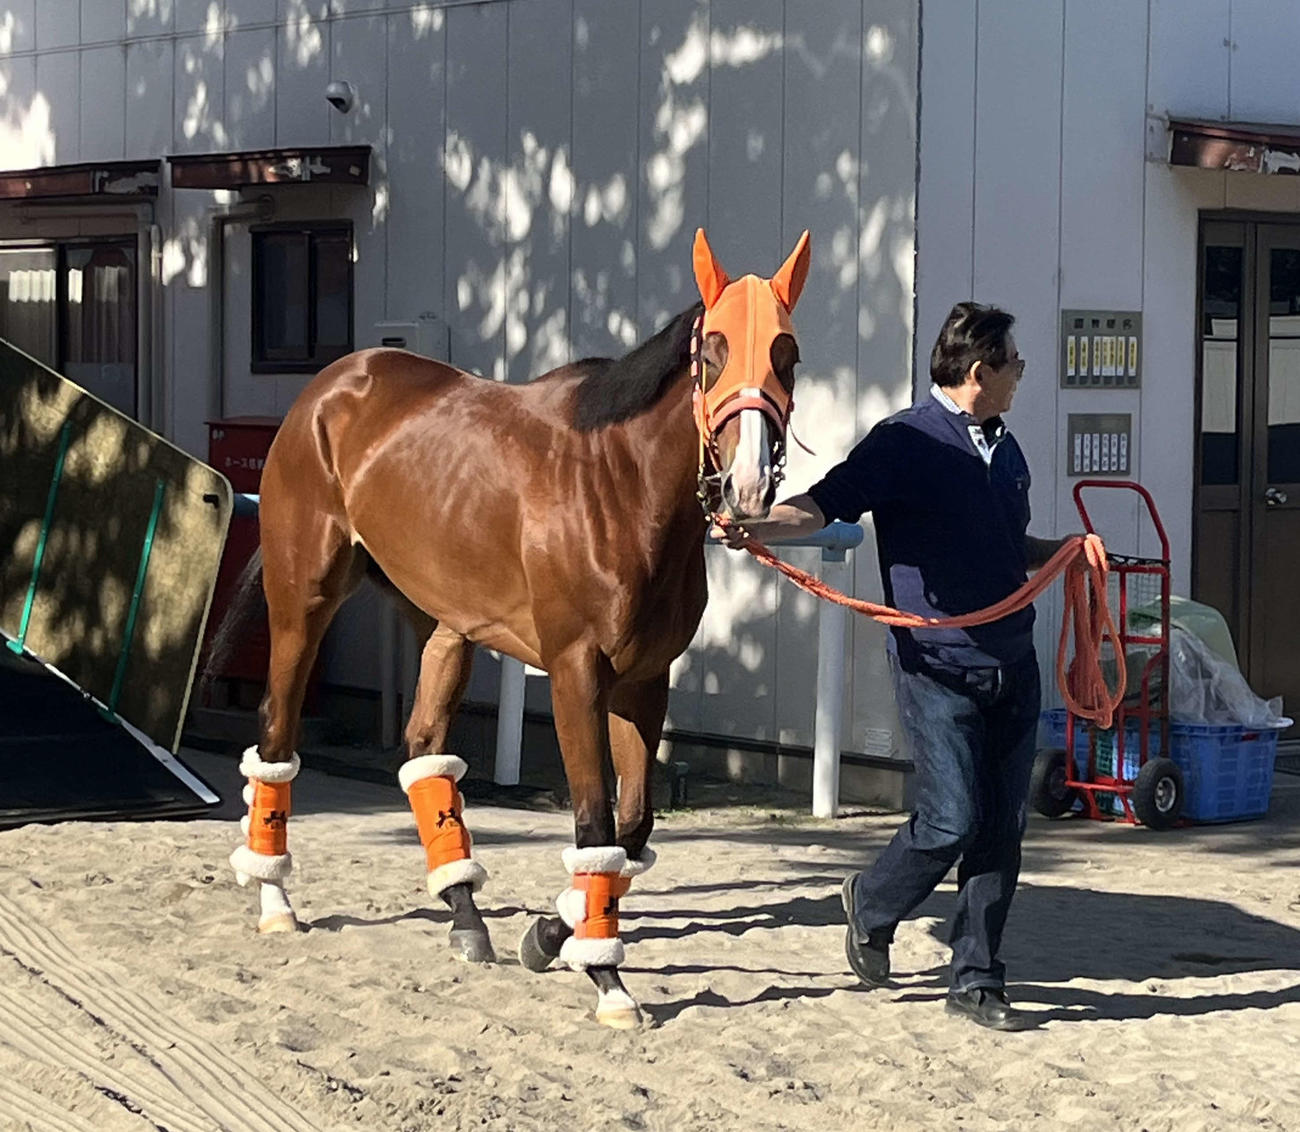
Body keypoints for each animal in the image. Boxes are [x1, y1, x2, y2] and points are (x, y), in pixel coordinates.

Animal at [216, 227, 812, 1028]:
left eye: (788, 353)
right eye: (712, 350)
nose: (747, 483)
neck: (618, 486)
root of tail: (334, 382)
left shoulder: (644, 681)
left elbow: (632, 828)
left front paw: (554, 933)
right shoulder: (575, 672)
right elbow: (594, 821)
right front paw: (608, 982)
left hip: (442, 620)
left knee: (425, 750)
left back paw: (466, 916)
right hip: (302, 601)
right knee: (278, 734)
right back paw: (276, 898)